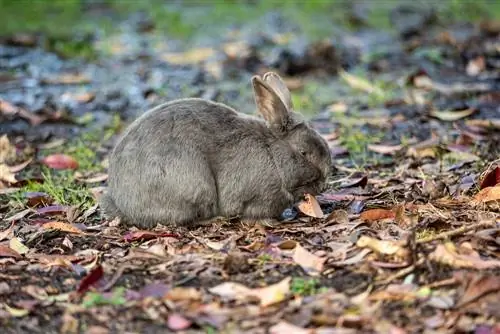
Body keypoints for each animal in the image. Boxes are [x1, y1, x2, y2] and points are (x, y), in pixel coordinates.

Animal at [99, 71, 330, 228]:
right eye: (303, 153)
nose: (323, 185)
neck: (272, 153)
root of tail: (122, 204)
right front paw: (269, 222)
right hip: (196, 186)